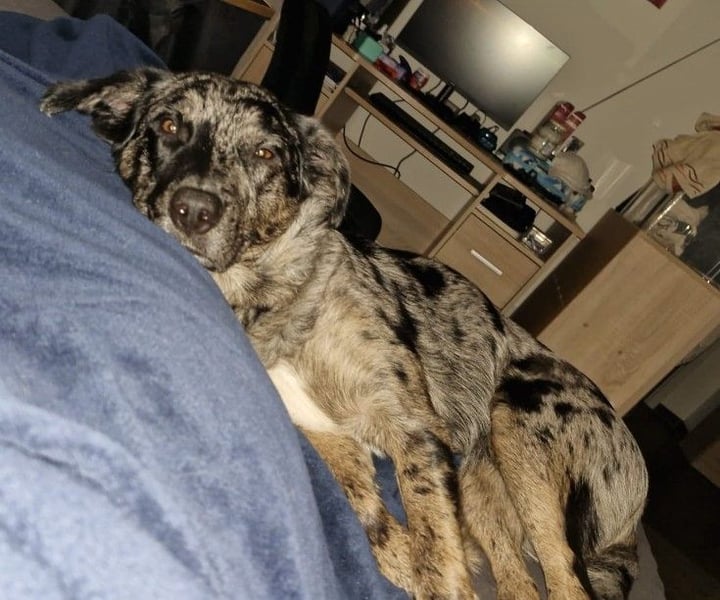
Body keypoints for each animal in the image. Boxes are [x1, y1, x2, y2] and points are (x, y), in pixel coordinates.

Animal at [41, 68, 648, 600]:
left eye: (266, 154)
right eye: (168, 126)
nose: (193, 210)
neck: (273, 296)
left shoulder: (417, 433)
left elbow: (436, 555)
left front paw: (429, 567)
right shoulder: (328, 435)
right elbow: (372, 517)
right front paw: (400, 555)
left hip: (519, 420)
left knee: (566, 579)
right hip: (485, 487)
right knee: (519, 580)